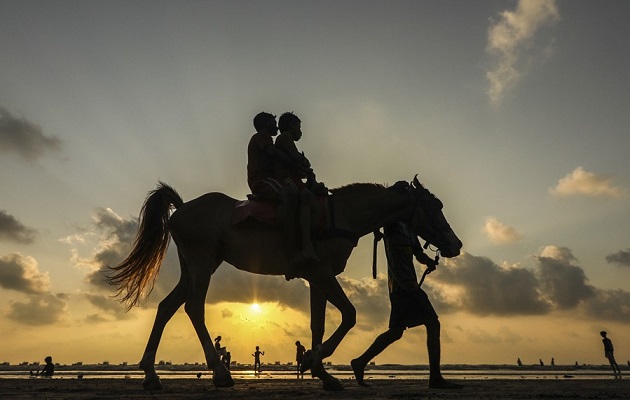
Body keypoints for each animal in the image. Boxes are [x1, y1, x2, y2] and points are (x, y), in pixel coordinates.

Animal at [108, 177, 462, 390]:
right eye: (436, 207)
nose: (455, 244)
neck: (342, 216)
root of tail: (180, 208)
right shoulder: (321, 273)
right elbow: (349, 315)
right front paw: (311, 361)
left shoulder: (319, 278)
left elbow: (319, 324)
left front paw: (322, 373)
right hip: (202, 263)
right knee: (194, 307)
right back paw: (220, 373)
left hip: (194, 267)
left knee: (167, 307)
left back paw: (151, 374)